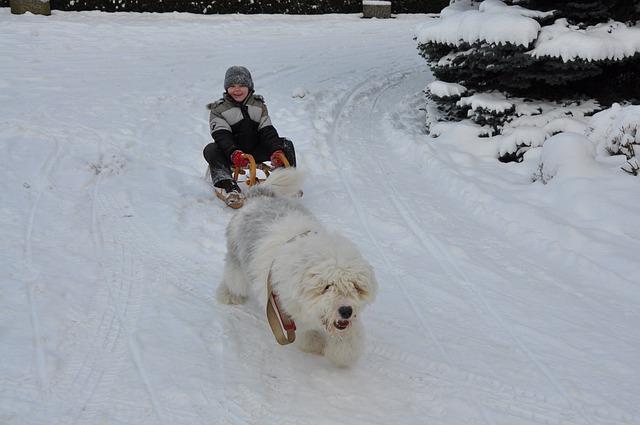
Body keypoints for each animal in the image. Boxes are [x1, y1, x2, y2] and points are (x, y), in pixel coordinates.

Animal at [216, 167, 376, 366]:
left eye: (355, 286)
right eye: (327, 287)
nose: (346, 311)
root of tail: (260, 196)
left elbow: (348, 338)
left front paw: (342, 352)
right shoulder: (285, 307)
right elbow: (307, 331)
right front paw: (314, 343)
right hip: (238, 262)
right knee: (233, 280)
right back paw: (229, 296)